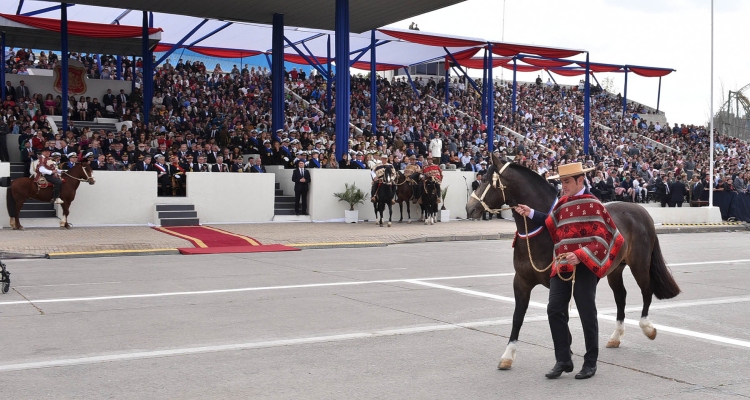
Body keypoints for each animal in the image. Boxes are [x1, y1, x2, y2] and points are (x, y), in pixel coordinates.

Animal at [464, 155, 680, 370]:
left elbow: (562, 316)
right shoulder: (521, 282)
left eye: (486, 181)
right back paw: (615, 337)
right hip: (615, 270)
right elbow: (518, 317)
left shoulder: (560, 279)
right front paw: (508, 355)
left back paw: (648, 328)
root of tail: (641, 211)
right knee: (621, 297)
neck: (540, 232)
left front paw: (565, 352)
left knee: (646, 291)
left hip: (639, 264)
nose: (469, 208)